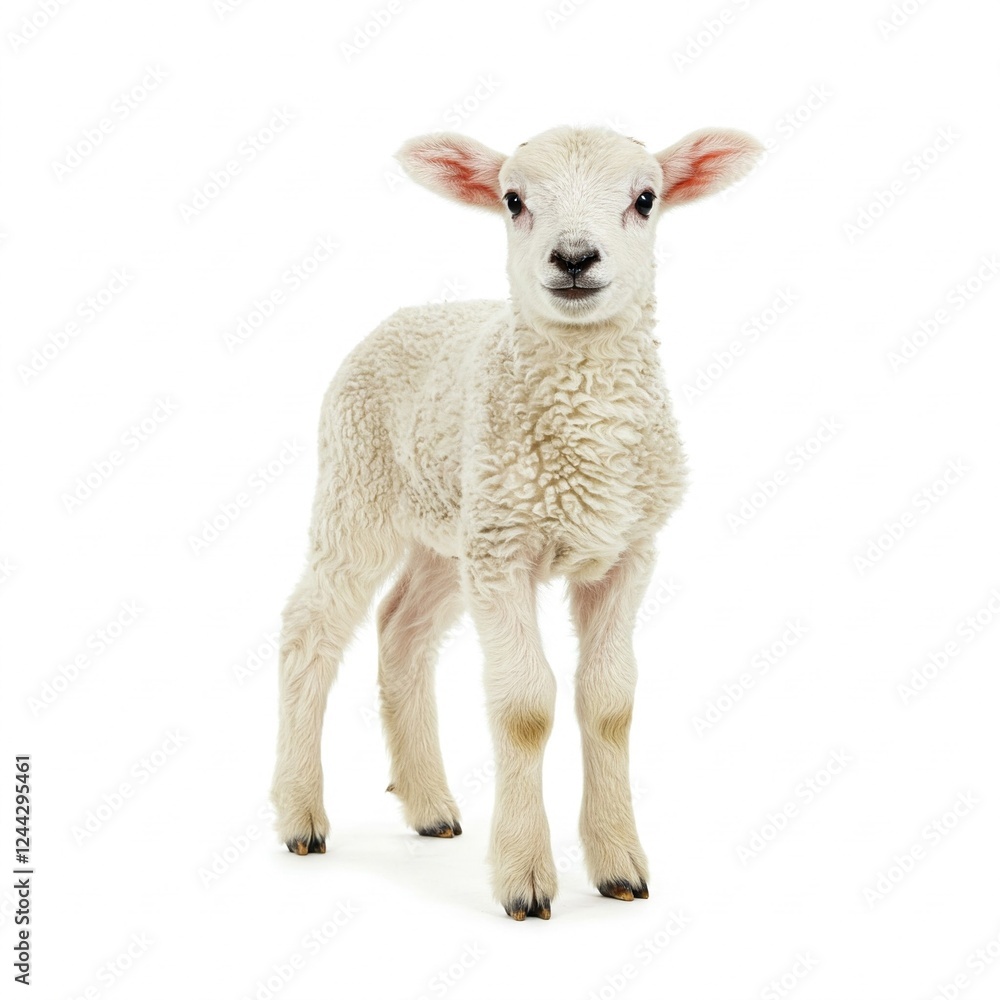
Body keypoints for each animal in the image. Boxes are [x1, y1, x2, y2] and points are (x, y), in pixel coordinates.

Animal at [271, 123, 762, 920]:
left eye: (646, 198)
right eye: (512, 200)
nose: (574, 258)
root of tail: (408, 315)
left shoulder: (626, 550)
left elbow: (610, 702)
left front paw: (619, 865)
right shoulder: (506, 555)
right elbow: (526, 707)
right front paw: (526, 877)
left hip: (453, 527)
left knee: (401, 630)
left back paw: (429, 806)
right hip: (359, 488)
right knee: (309, 629)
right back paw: (299, 815)